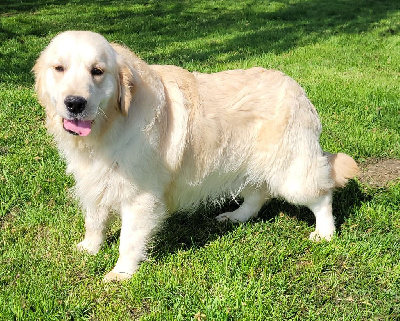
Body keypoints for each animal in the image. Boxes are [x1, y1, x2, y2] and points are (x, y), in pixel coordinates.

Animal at [33, 30, 360, 280]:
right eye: (59, 68)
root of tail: (296, 87)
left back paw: (325, 233)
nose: (75, 103)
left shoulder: (139, 197)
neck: (110, 125)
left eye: (97, 71)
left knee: (322, 195)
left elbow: (128, 239)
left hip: (291, 172)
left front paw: (122, 273)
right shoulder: (95, 180)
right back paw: (235, 216)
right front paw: (89, 248)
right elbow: (94, 220)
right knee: (258, 195)